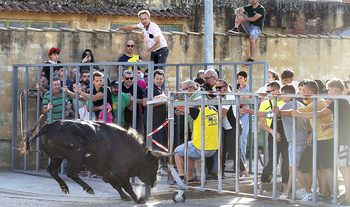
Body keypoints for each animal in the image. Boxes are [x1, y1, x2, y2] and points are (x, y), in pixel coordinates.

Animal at [25, 119, 174, 204]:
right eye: (154, 164)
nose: (154, 183)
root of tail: (49, 126)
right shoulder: (121, 173)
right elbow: (127, 186)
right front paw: (139, 199)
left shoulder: (106, 173)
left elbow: (117, 186)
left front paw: (125, 197)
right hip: (77, 156)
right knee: (71, 173)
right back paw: (88, 188)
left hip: (57, 157)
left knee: (52, 170)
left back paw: (64, 187)